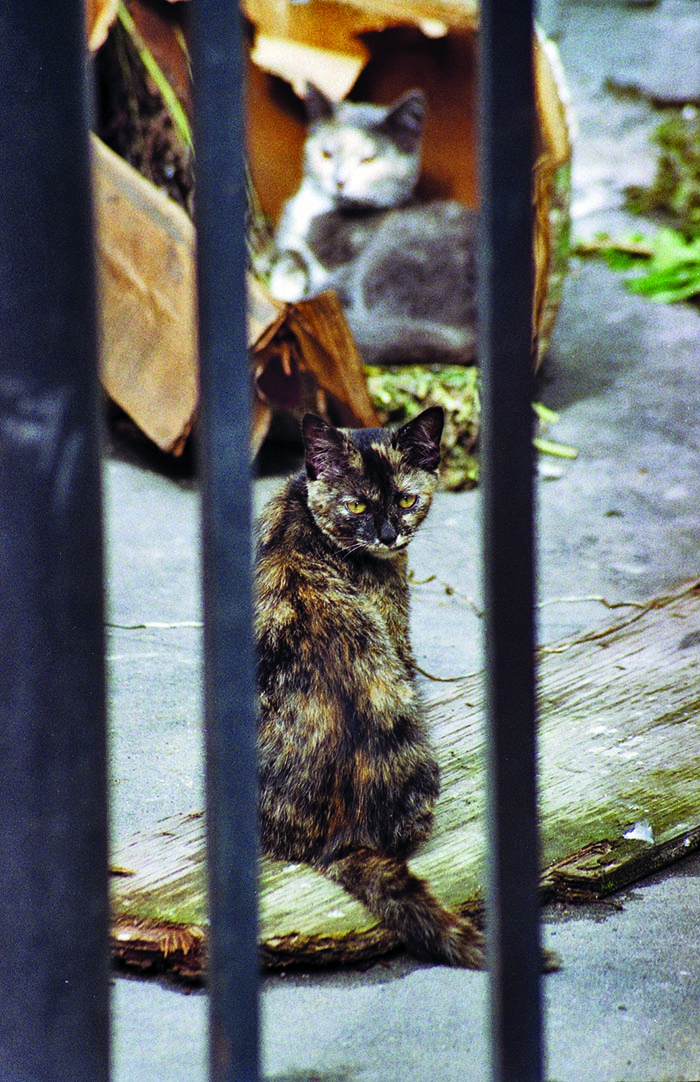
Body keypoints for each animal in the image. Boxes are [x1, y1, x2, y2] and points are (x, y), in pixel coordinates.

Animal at [267, 84, 478, 366]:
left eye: (368, 160)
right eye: (326, 154)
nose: (339, 181)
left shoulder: (351, 264)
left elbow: (328, 281)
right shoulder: (290, 237)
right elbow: (290, 253)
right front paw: (286, 279)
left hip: (392, 253)